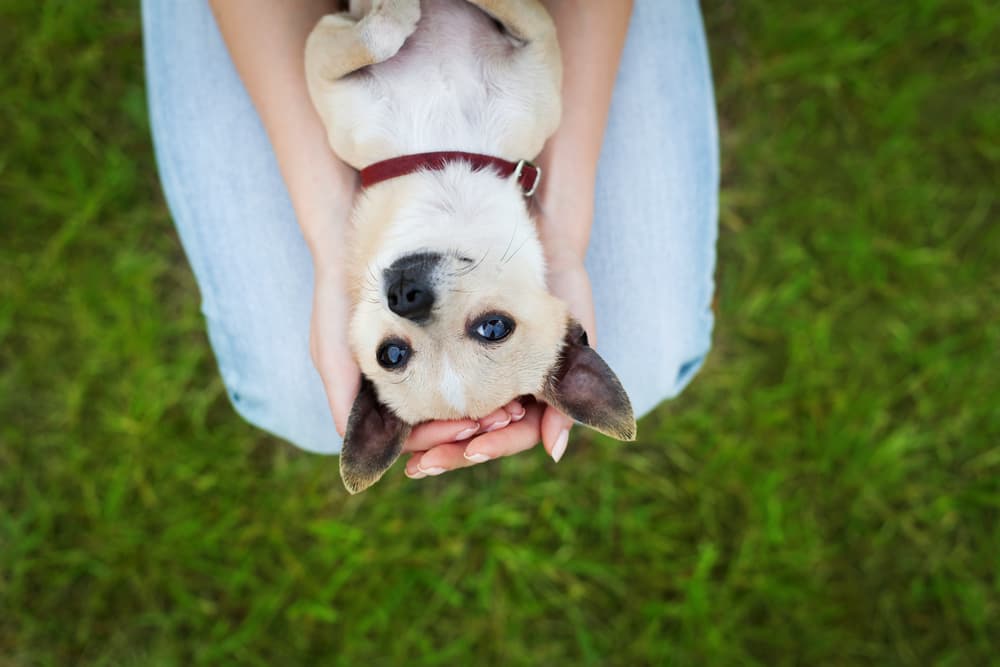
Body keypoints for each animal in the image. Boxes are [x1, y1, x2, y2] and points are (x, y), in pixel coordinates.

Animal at [304, 0, 636, 494]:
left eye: (494, 328)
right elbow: (374, 38)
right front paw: (392, 16)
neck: (446, 179)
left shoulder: (537, 43)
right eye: (391, 355)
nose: (406, 296)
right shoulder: (326, 68)